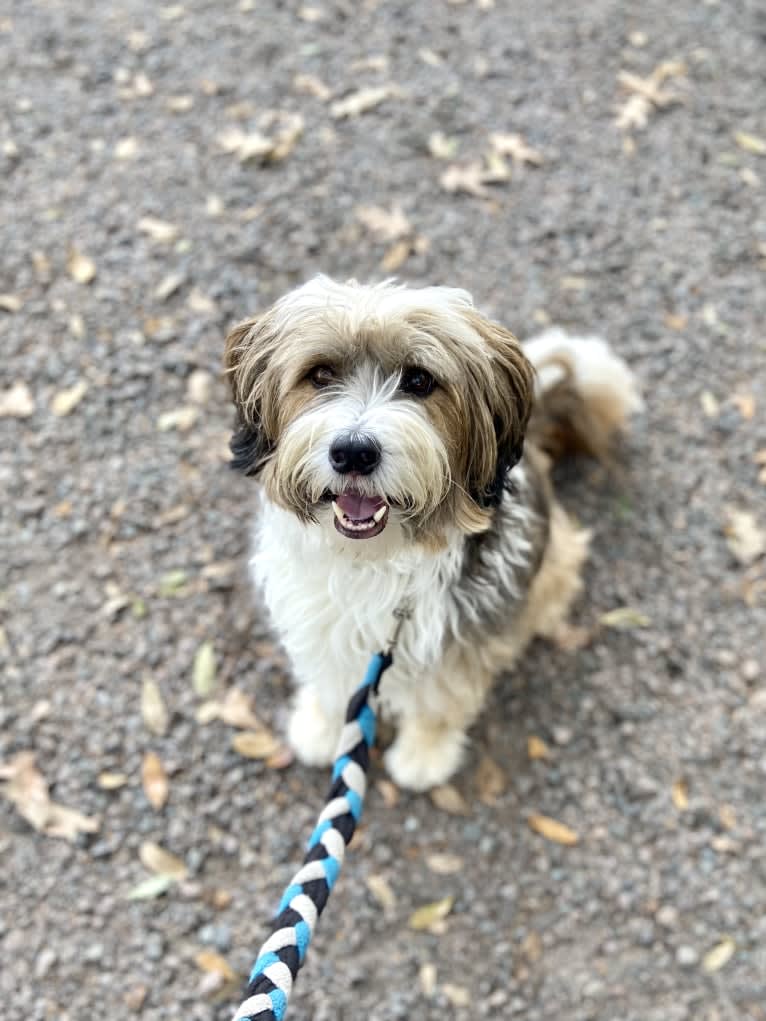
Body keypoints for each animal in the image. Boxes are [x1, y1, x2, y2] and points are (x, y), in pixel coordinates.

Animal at [224, 275, 645, 792]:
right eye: (320, 375)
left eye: (420, 381)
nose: (354, 452)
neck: (372, 563)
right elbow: (330, 676)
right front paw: (322, 727)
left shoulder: (456, 640)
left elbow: (440, 698)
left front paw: (424, 753)